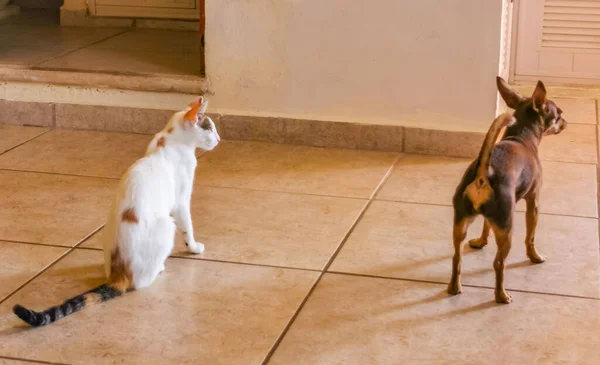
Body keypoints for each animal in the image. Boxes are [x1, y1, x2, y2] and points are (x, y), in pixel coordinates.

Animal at [13, 95, 220, 326]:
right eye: (210, 128)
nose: (219, 139)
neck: (167, 141)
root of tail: (118, 274)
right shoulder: (182, 200)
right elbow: (188, 226)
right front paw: (193, 247)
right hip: (167, 225)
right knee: (141, 282)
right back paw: (159, 268)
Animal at [450, 78, 568, 302]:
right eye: (559, 114)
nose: (566, 122)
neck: (521, 137)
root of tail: (484, 172)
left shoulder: (491, 219)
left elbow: (486, 226)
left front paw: (481, 241)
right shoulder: (534, 203)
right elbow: (531, 237)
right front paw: (535, 257)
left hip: (461, 223)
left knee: (456, 257)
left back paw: (454, 287)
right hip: (507, 230)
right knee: (498, 264)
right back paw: (502, 295)